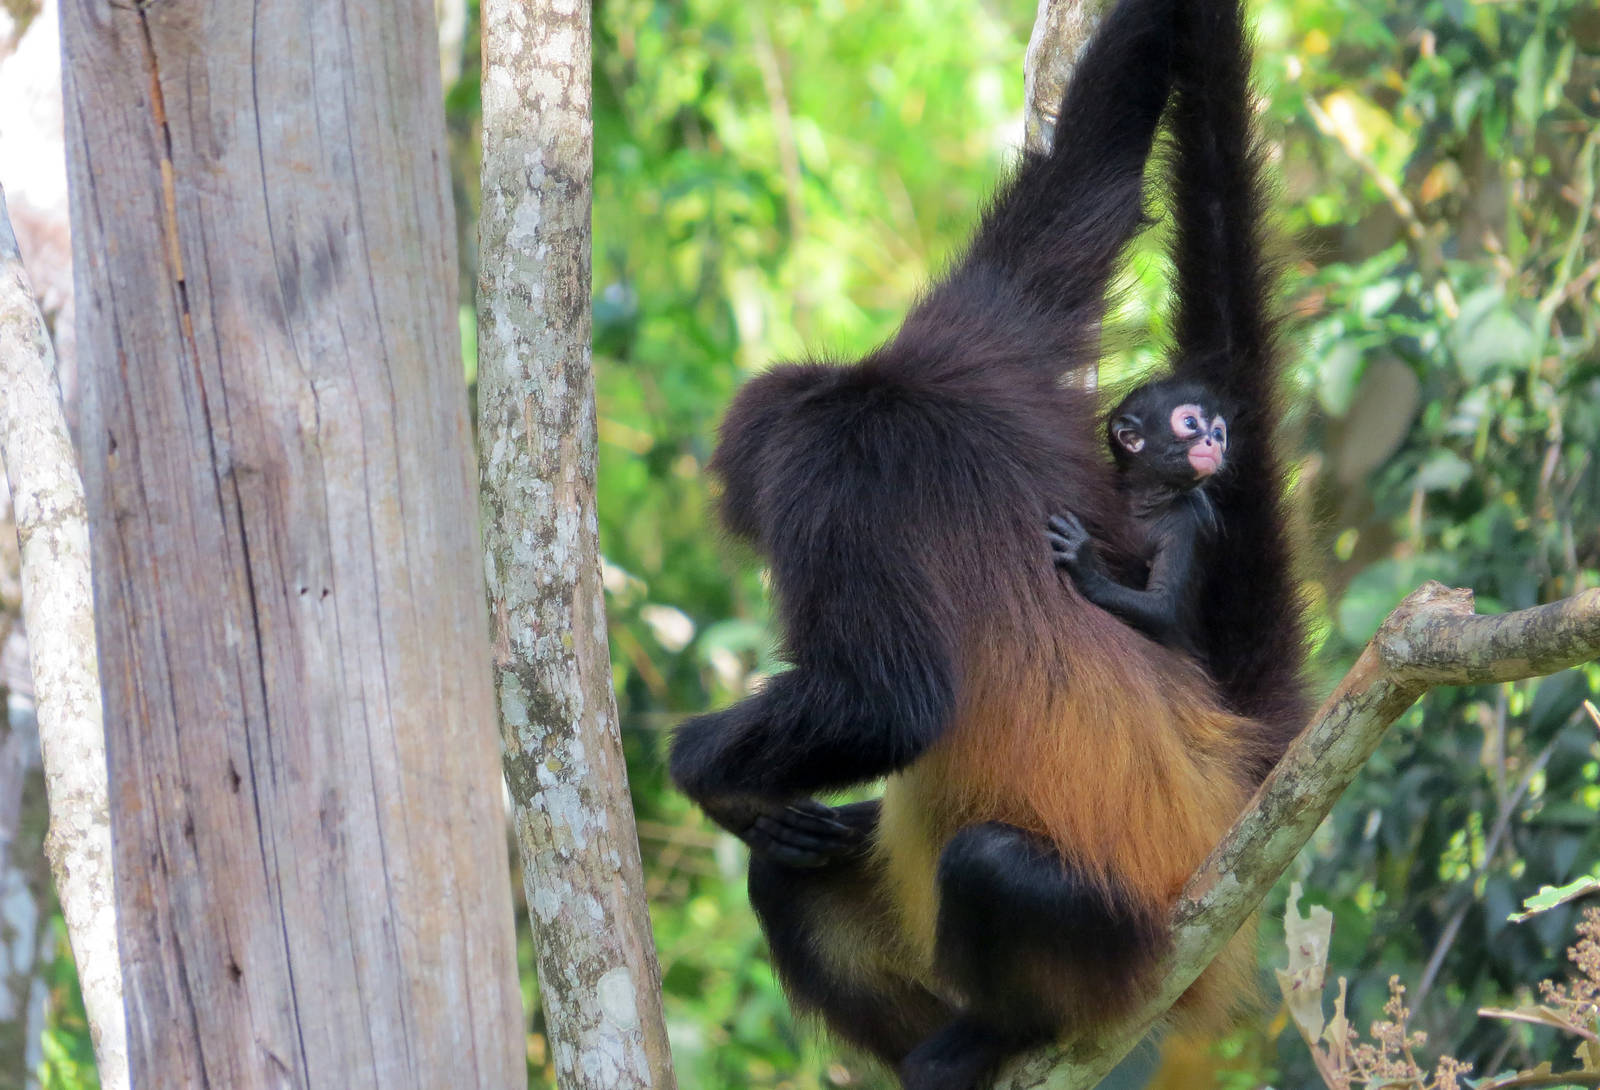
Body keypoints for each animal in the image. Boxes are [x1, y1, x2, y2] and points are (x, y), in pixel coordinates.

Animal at [1045, 379, 1233, 657]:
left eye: (1220, 434)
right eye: (1190, 423)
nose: (1214, 443)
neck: (1146, 500)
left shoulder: (1185, 519)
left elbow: (1162, 608)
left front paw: (1083, 563)